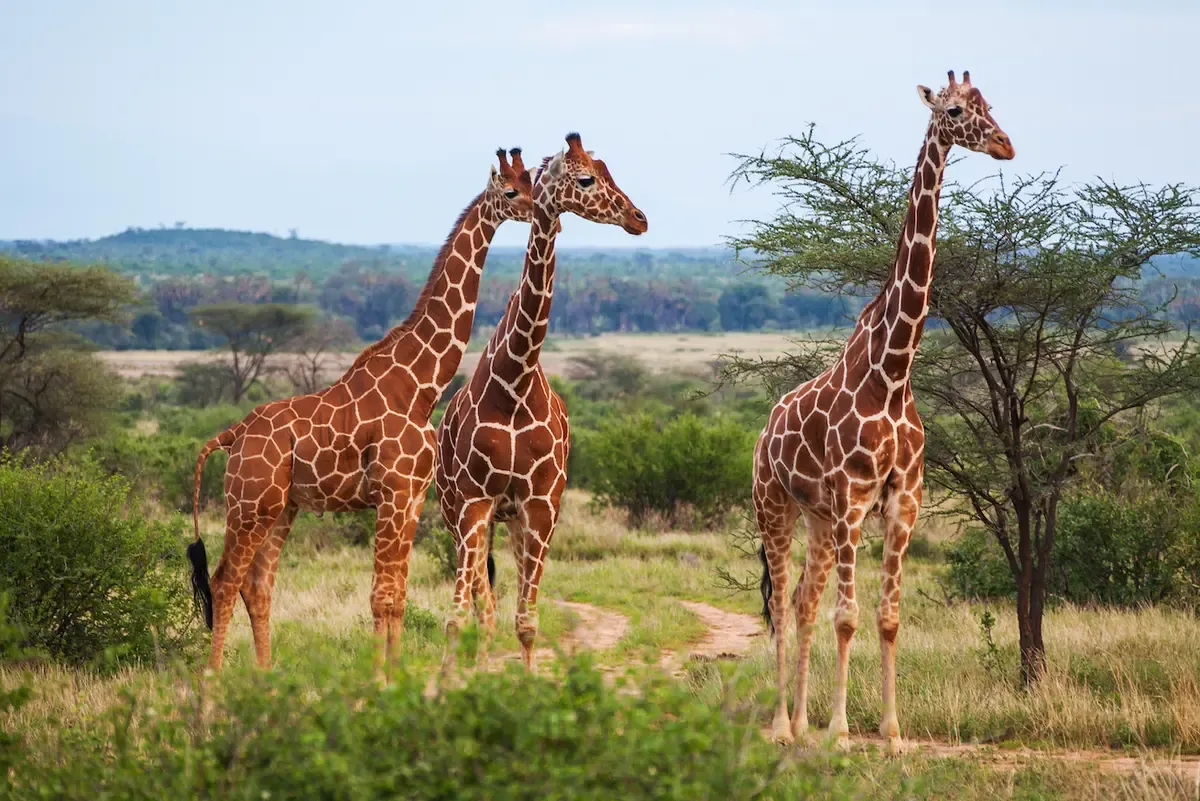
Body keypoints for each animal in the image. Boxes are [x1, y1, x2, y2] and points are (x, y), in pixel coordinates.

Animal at [186, 148, 536, 672]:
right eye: (512, 191)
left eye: (533, 182)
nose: (541, 212)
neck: (421, 387)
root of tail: (232, 434)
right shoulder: (391, 493)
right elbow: (380, 596)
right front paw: (378, 678)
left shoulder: (411, 498)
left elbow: (398, 595)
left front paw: (395, 672)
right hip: (249, 503)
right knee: (226, 579)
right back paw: (213, 679)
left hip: (281, 507)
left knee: (258, 584)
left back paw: (265, 677)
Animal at [435, 133, 647, 670]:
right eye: (586, 178)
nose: (639, 218)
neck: (515, 382)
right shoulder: (474, 501)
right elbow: (458, 617)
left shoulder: (542, 503)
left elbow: (527, 622)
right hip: (458, 512)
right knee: (481, 606)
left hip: (516, 520)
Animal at [753, 71, 1014, 752]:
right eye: (955, 111)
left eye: (989, 105)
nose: (1004, 145)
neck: (893, 373)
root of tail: (764, 431)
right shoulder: (853, 496)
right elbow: (848, 616)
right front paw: (843, 732)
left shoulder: (903, 500)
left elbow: (888, 616)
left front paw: (892, 735)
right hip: (776, 507)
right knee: (783, 602)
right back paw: (780, 726)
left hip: (819, 521)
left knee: (803, 602)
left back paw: (799, 723)